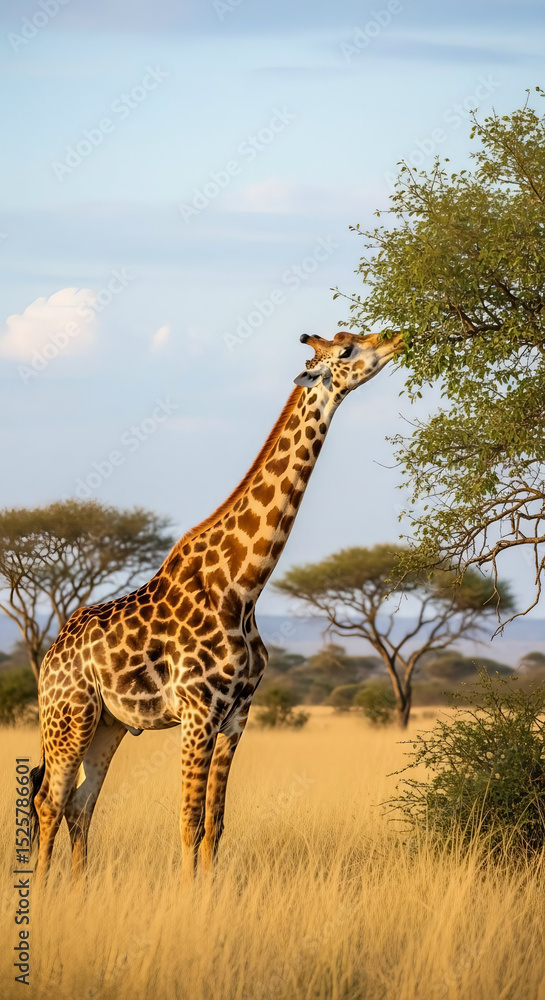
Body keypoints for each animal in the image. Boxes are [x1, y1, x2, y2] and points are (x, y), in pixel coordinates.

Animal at [29, 329, 402, 881]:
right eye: (347, 351)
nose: (396, 338)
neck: (241, 589)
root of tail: (50, 655)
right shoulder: (197, 712)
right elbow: (188, 821)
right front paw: (187, 898)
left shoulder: (236, 717)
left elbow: (215, 824)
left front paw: (208, 893)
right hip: (69, 718)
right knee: (49, 803)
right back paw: (43, 894)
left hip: (109, 725)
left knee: (80, 805)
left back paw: (77, 889)